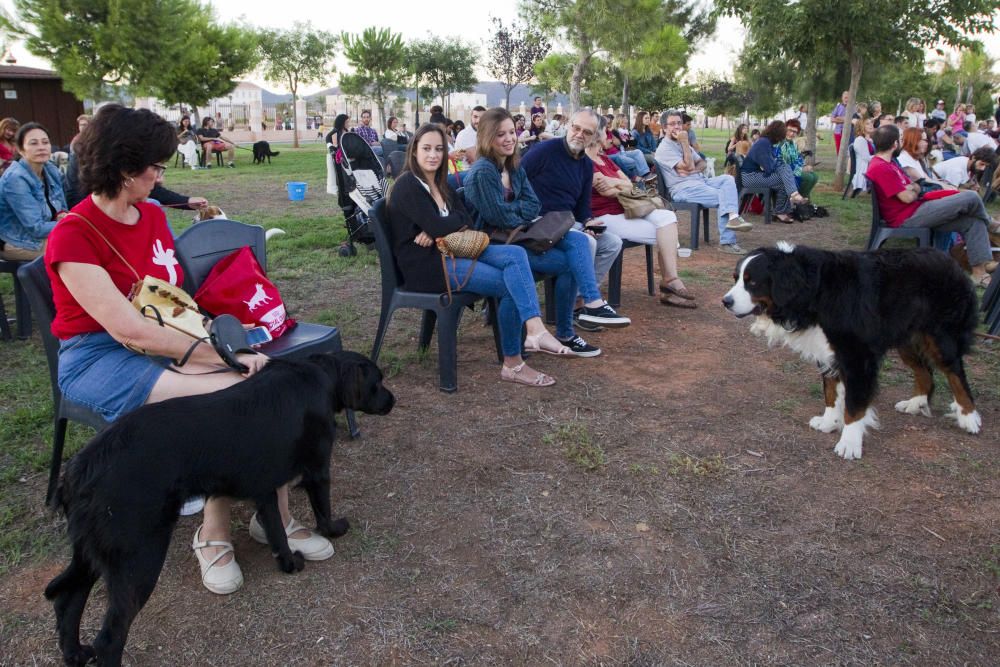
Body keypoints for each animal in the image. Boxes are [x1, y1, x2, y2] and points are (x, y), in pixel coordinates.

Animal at [45, 352, 394, 664]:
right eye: (378, 381)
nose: (393, 400)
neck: (321, 372)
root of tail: (79, 469)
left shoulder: (265, 486)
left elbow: (276, 531)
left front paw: (287, 562)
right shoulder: (318, 468)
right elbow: (322, 509)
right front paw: (334, 530)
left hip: (93, 551)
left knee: (67, 599)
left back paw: (75, 653)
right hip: (139, 556)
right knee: (110, 637)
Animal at [724, 243, 980, 462]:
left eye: (752, 282)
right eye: (736, 279)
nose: (725, 301)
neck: (815, 291)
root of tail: (950, 260)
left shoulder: (857, 356)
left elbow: (854, 405)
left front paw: (849, 442)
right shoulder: (827, 352)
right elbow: (831, 392)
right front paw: (829, 422)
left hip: (941, 338)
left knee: (955, 374)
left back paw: (969, 417)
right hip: (906, 339)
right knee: (925, 372)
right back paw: (915, 403)